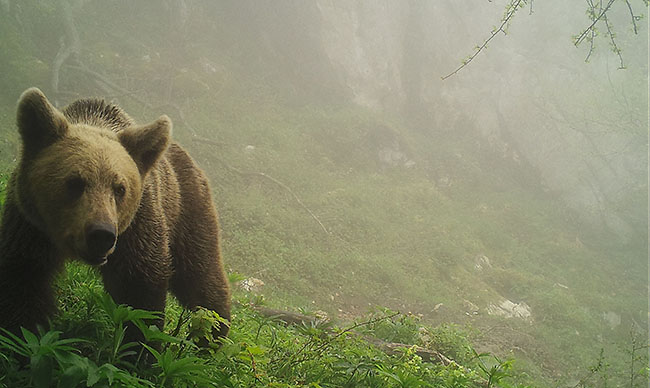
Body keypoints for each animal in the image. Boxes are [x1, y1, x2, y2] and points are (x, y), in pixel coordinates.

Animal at [0, 87, 230, 342]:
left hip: (188, 212)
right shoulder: (30, 225)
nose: (101, 234)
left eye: (120, 188)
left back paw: (214, 333)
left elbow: (140, 291)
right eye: (75, 182)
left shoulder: (137, 228)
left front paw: (139, 346)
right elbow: (24, 283)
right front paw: (22, 336)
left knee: (200, 276)